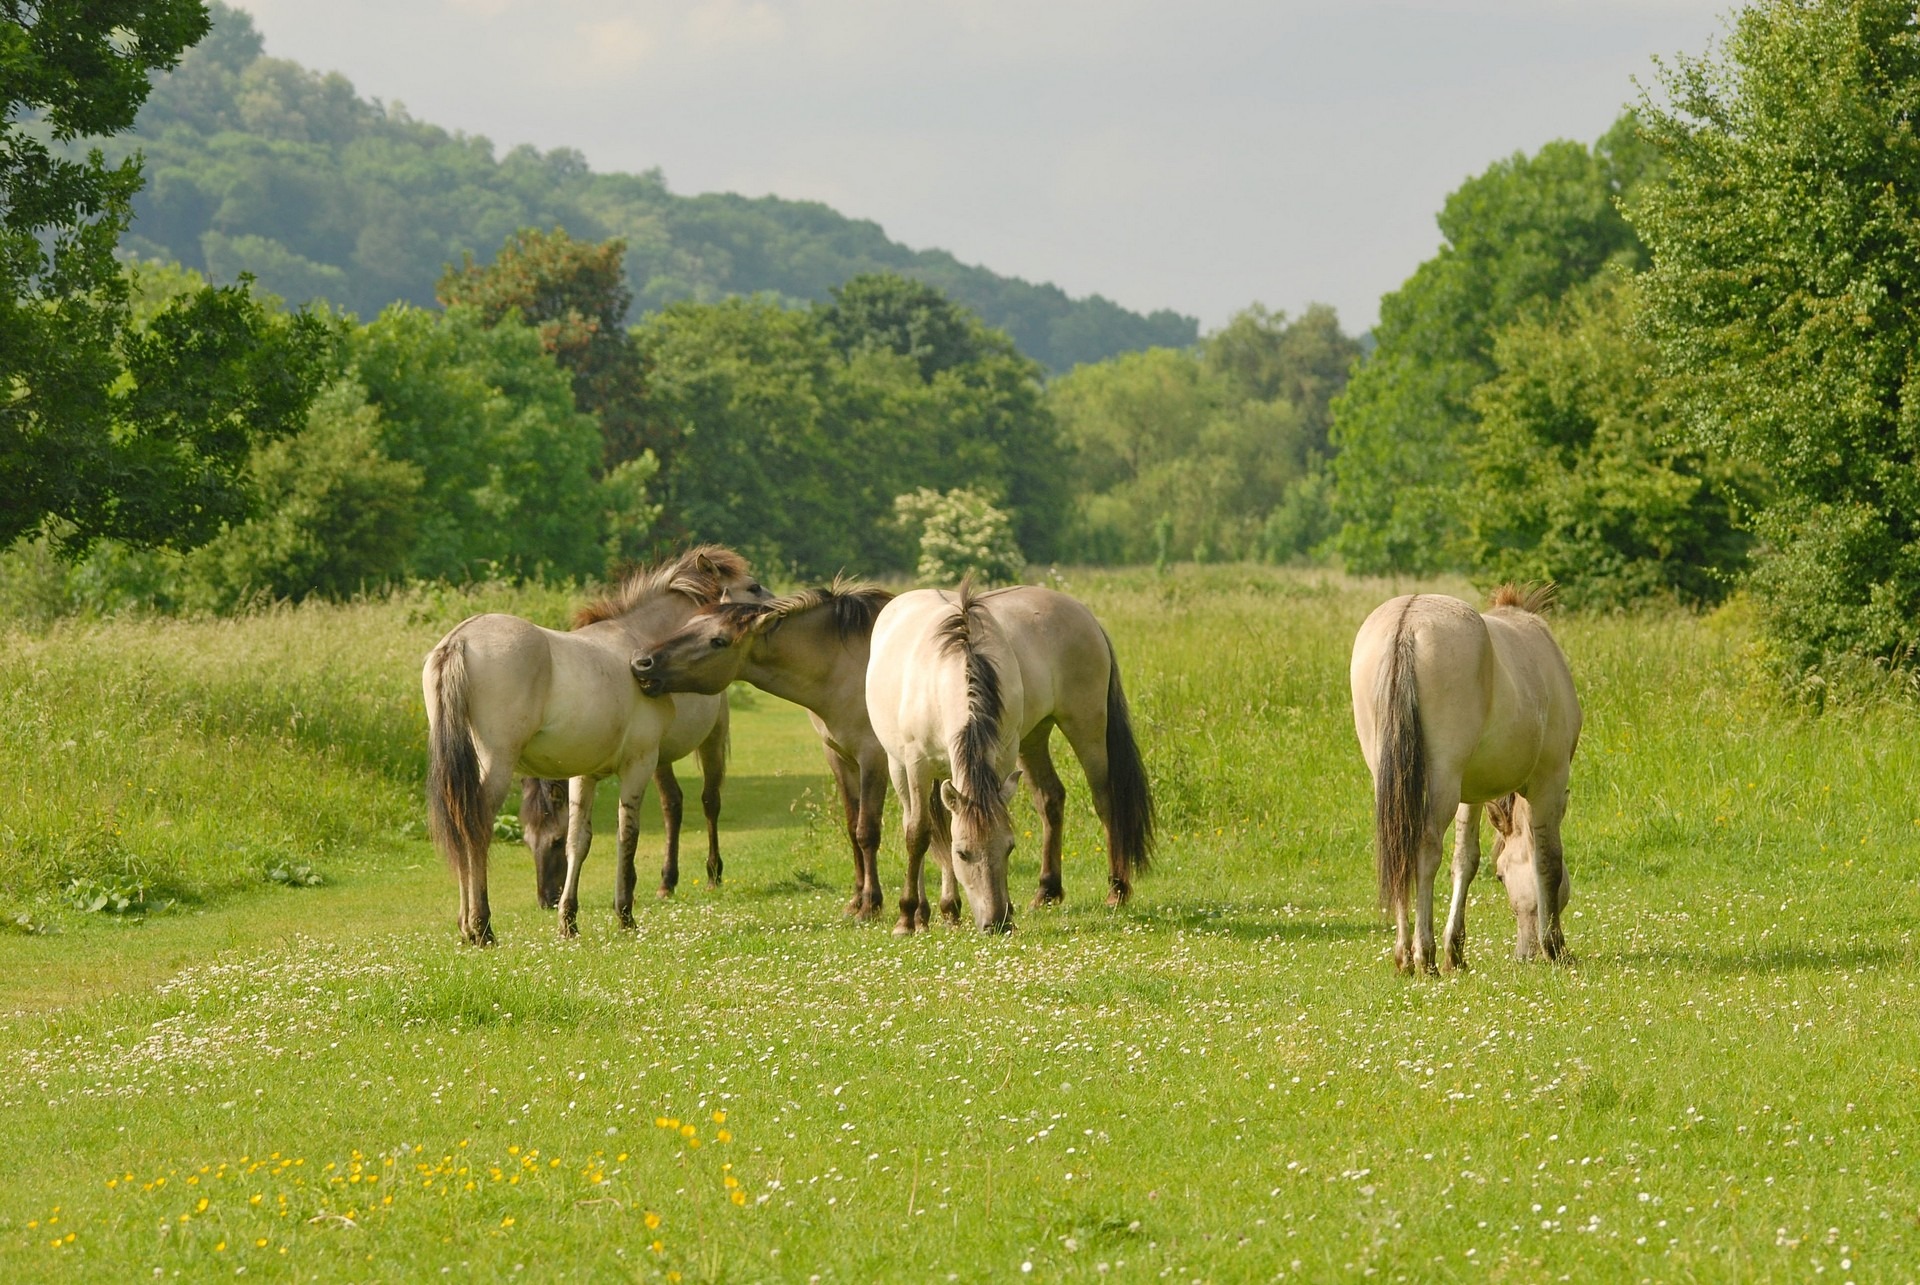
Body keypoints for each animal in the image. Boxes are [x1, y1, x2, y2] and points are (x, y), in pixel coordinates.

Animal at [424, 541, 768, 941]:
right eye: (754, 587)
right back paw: (481, 928)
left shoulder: (584, 774)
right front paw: (624, 914)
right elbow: (626, 835)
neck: (636, 639)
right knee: (474, 826)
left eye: (552, 841)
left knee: (698, 803)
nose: (775, 613)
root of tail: (458, 641)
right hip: (500, 763)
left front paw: (569, 921)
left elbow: (580, 841)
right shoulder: (638, 764)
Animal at [629, 576, 898, 918]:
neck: (850, 668)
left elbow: (868, 831)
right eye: (687, 624)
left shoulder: (873, 758)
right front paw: (856, 899)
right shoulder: (840, 757)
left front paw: (871, 904)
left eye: (719, 641)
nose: (642, 662)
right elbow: (852, 828)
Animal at [867, 580, 1152, 933]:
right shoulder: (916, 765)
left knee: (1104, 801)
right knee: (1049, 798)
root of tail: (1086, 616)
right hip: (1023, 740)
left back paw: (1115, 890)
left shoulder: (1001, 757)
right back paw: (1041, 892)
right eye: (962, 853)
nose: (996, 922)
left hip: (1085, 727)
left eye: (1009, 848)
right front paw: (908, 917)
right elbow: (918, 833)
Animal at [1351, 583, 1574, 971]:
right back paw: (1422, 955)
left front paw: (1455, 950)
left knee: (1399, 847)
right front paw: (1554, 946)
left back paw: (1404, 955)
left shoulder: (1470, 794)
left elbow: (1465, 861)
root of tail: (1407, 623)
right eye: (1501, 876)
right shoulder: (1549, 783)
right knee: (1424, 849)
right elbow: (1547, 860)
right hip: (1442, 781)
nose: (1524, 953)